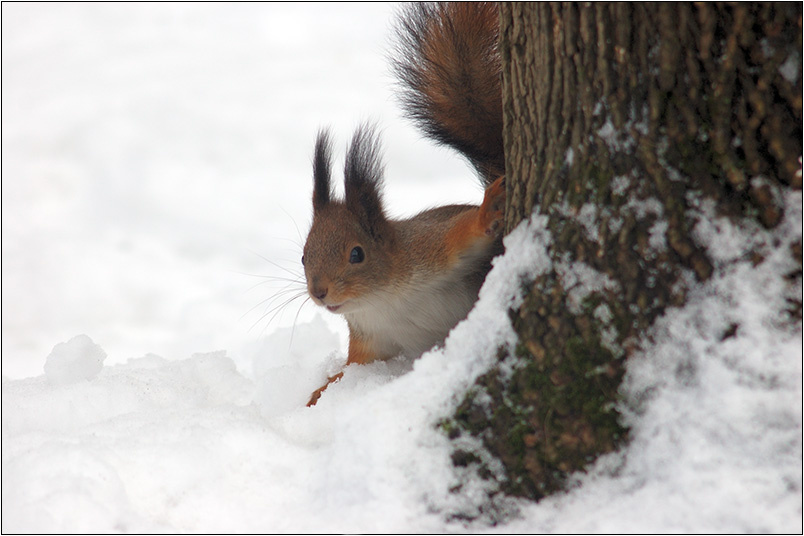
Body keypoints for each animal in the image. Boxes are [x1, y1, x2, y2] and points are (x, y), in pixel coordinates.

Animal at [302, 2, 504, 406]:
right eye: (303, 256)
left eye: (357, 254)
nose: (319, 291)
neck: (382, 300)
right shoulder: (370, 338)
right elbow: (355, 367)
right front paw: (324, 391)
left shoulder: (430, 249)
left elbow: (464, 233)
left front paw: (487, 210)